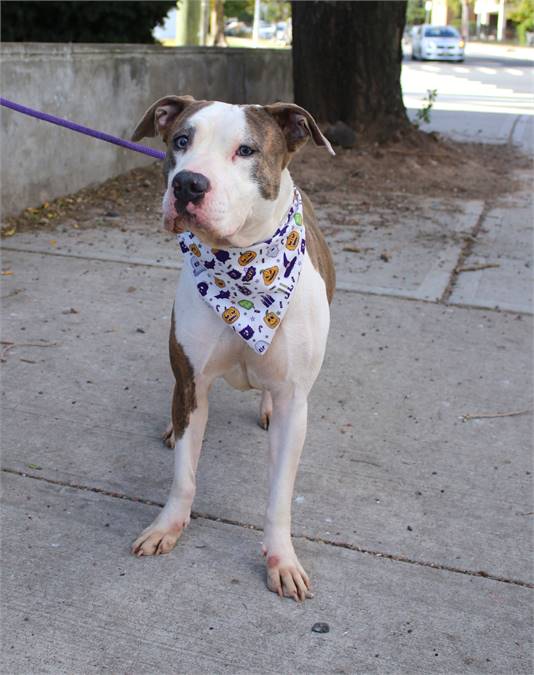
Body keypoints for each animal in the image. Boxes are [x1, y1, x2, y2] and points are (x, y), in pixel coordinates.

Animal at [131, 96, 336, 604]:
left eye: (246, 150)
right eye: (181, 140)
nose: (188, 183)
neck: (242, 271)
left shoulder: (294, 400)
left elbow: (279, 495)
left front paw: (281, 560)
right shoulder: (191, 380)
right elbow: (184, 475)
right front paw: (168, 526)